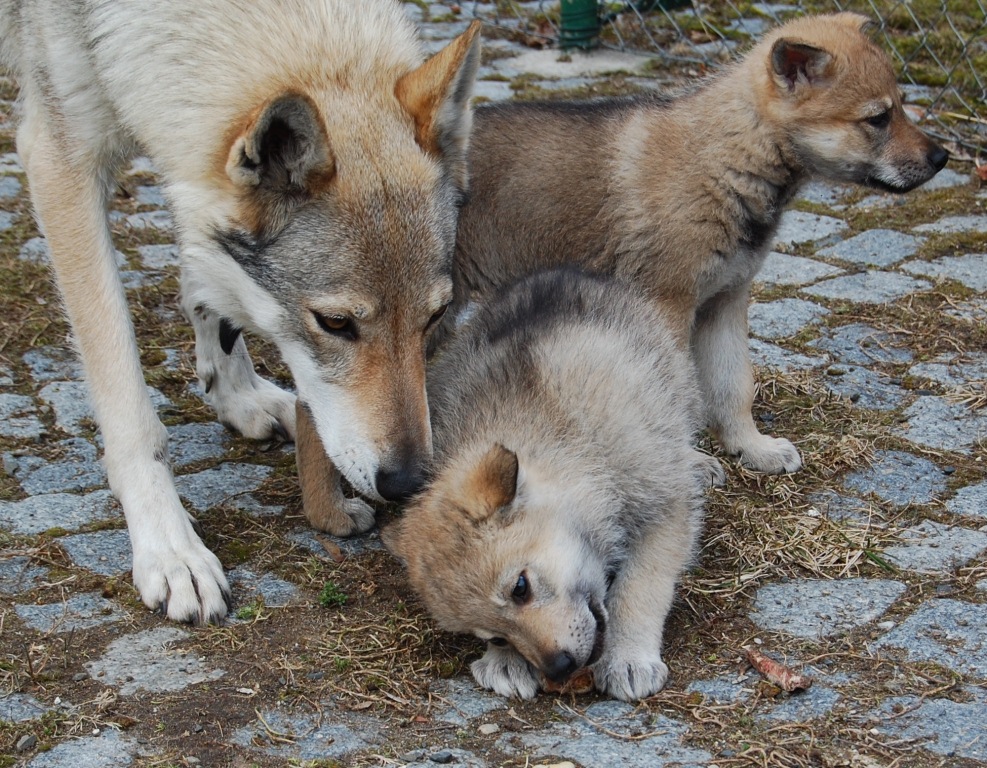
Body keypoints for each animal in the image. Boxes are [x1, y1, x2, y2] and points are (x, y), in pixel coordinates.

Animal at [0, 0, 478, 620]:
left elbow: (209, 282)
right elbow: (128, 403)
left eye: (434, 318)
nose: (407, 482)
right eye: (336, 323)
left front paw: (239, 395)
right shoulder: (61, 160)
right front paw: (170, 549)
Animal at [382, 270, 708, 704]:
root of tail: (559, 273)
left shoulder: (664, 505)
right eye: (495, 636)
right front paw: (505, 664)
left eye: (521, 587)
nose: (559, 668)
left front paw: (628, 656)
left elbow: (641, 584)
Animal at [450, 12, 948, 476]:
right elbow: (678, 393)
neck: (728, 156)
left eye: (902, 107)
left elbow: (734, 385)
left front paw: (753, 448)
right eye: (878, 118)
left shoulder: (725, 303)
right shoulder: (669, 307)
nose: (942, 158)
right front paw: (689, 461)